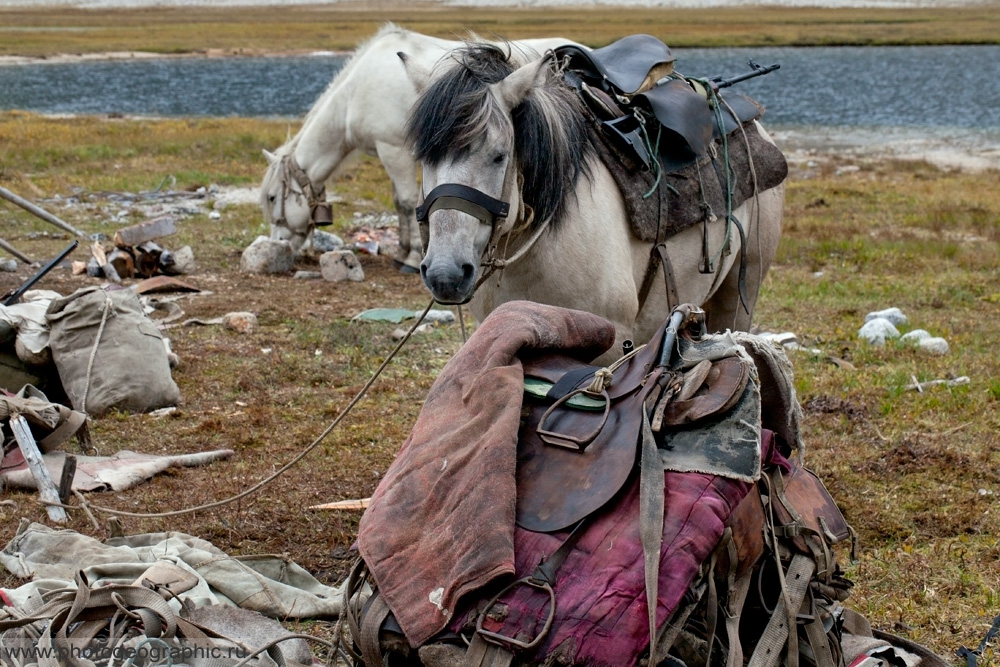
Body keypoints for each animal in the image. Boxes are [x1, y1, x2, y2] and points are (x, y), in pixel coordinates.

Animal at [258, 24, 580, 268]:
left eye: (272, 198)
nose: (278, 244)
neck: (355, 94)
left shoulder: (393, 151)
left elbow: (406, 201)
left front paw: (411, 257)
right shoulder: (388, 153)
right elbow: (398, 203)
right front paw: (402, 250)